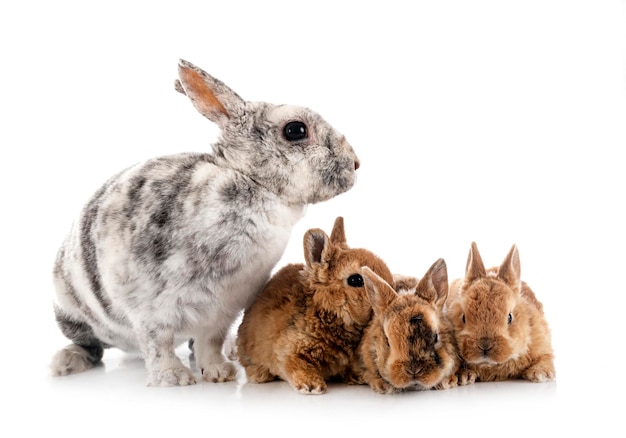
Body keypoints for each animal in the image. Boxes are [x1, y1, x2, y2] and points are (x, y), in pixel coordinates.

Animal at [49, 59, 358, 386]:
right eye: (296, 130)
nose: (356, 163)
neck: (251, 181)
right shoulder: (147, 311)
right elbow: (157, 344)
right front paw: (173, 379)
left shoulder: (220, 312)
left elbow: (210, 342)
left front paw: (219, 373)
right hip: (73, 315)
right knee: (91, 345)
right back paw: (65, 362)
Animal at [234, 217, 390, 396]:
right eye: (356, 280)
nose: (391, 289)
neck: (325, 311)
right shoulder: (290, 351)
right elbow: (297, 365)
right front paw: (312, 386)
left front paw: (362, 379)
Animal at [444, 243, 556, 384]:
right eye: (463, 317)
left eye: (509, 317)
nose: (485, 345)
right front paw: (463, 376)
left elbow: (545, 357)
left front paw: (541, 374)